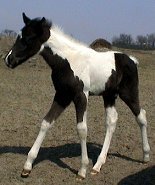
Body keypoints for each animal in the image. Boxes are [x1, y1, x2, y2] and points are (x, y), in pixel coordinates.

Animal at [5, 13, 150, 181]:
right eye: (18, 36)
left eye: (28, 39)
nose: (8, 60)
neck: (68, 61)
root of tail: (132, 60)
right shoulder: (62, 95)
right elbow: (46, 122)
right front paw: (27, 166)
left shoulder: (81, 95)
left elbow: (81, 129)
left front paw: (82, 170)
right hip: (109, 95)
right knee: (111, 121)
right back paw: (98, 165)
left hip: (129, 93)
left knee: (141, 116)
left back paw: (146, 156)